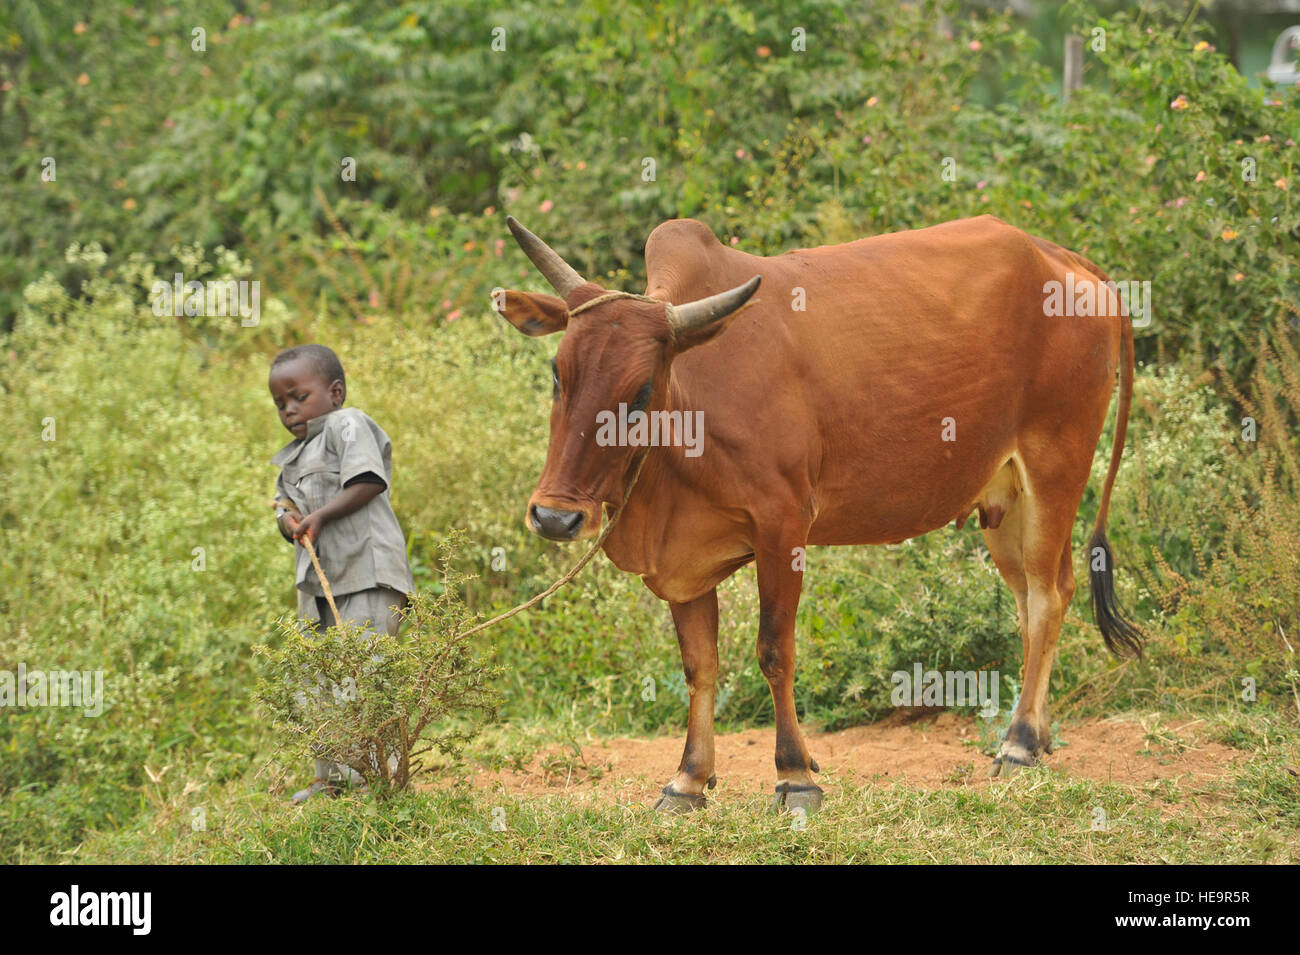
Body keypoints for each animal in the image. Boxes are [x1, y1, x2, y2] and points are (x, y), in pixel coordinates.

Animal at [496, 216, 1138, 815]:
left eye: (641, 392)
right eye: (558, 374)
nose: (554, 518)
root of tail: (1061, 257)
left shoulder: (783, 526)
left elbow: (774, 651)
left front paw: (795, 775)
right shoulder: (684, 557)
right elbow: (700, 665)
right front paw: (689, 780)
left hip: (1055, 467)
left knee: (1050, 597)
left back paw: (1020, 743)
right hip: (1003, 501)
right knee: (1032, 599)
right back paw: (1038, 736)